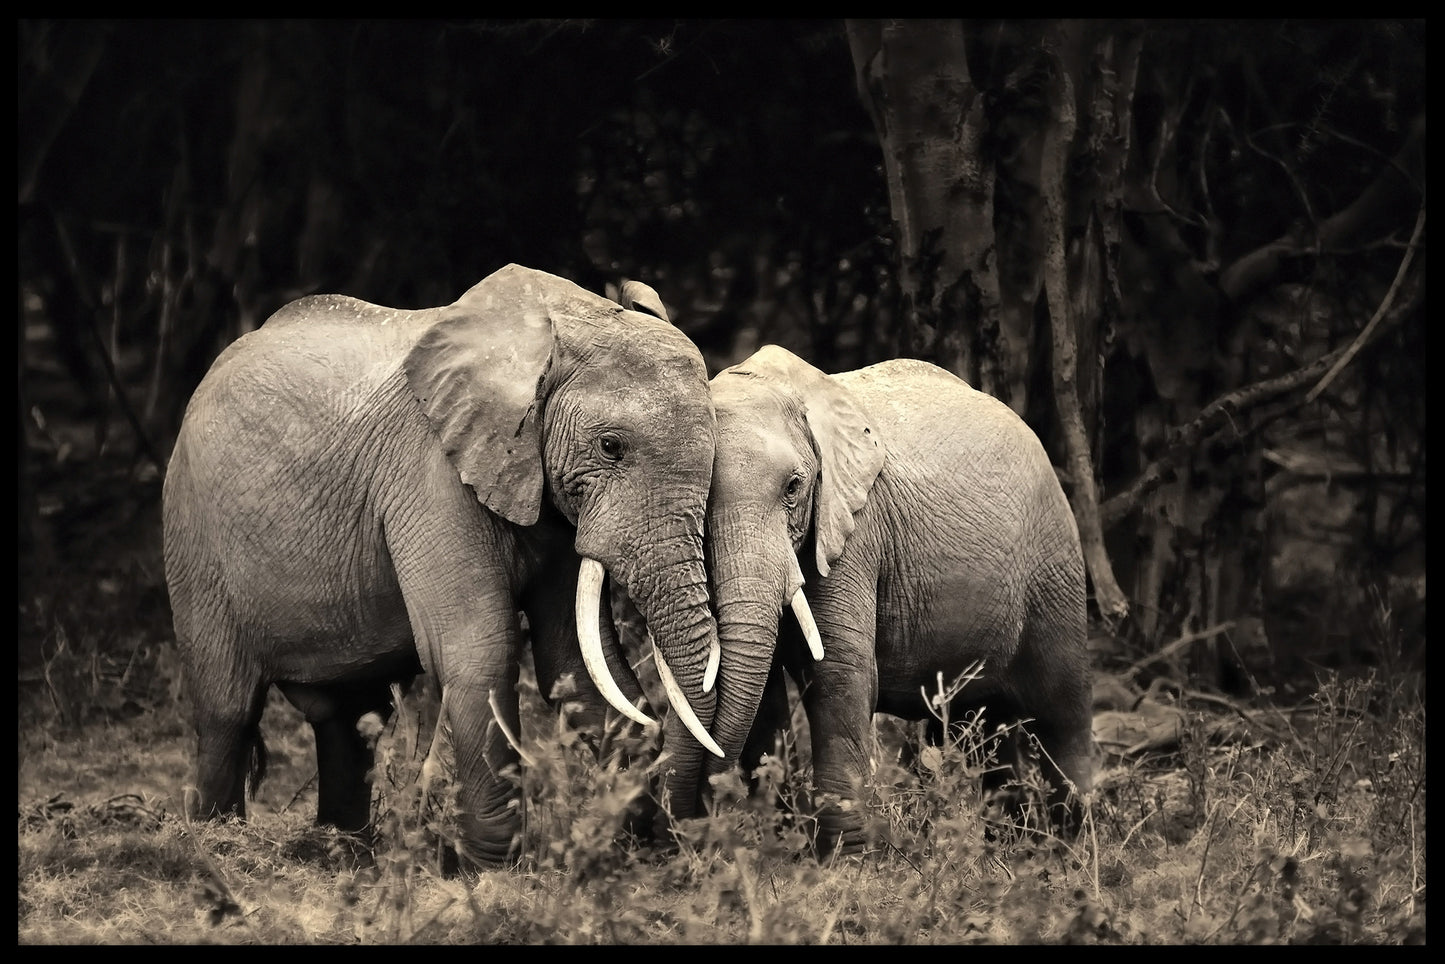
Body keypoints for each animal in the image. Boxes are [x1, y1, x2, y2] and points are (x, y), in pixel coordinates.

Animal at [161, 263, 727, 870]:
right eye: (611, 446)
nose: (681, 838)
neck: (554, 330)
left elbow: (576, 663)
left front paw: (626, 849)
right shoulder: (433, 474)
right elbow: (479, 651)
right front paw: (491, 871)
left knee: (347, 719)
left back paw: (342, 857)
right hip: (193, 534)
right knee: (228, 710)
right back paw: (215, 849)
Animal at [675, 345, 1096, 857]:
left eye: (794, 488)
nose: (704, 811)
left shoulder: (854, 528)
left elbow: (838, 671)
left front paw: (847, 860)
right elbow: (765, 689)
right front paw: (778, 849)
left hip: (1054, 564)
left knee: (1062, 710)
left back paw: (1073, 849)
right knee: (977, 724)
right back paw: (1010, 844)